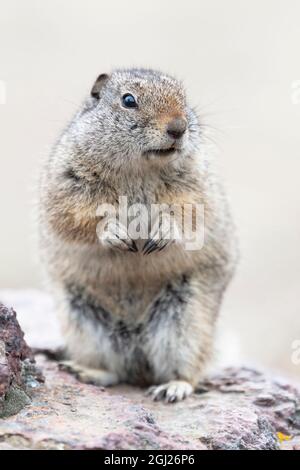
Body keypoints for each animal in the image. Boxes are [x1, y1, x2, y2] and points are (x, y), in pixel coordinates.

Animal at [38, 68, 238, 402]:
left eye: (184, 97)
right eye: (128, 100)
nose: (178, 127)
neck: (139, 169)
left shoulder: (195, 185)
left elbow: (190, 213)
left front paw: (162, 232)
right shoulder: (67, 183)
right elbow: (74, 216)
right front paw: (116, 233)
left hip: (186, 322)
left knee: (187, 370)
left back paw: (173, 388)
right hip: (82, 321)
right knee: (116, 371)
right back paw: (86, 371)